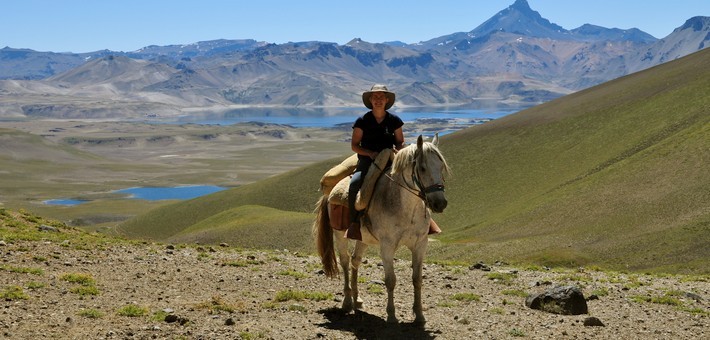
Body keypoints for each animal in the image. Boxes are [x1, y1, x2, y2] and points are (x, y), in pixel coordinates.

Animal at [316, 135, 454, 324]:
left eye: (441, 167)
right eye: (422, 168)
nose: (440, 203)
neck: (406, 209)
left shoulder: (420, 244)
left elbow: (417, 279)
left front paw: (419, 315)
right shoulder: (387, 246)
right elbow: (390, 280)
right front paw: (391, 315)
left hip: (362, 238)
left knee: (355, 261)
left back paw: (357, 300)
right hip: (339, 234)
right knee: (344, 261)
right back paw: (347, 302)